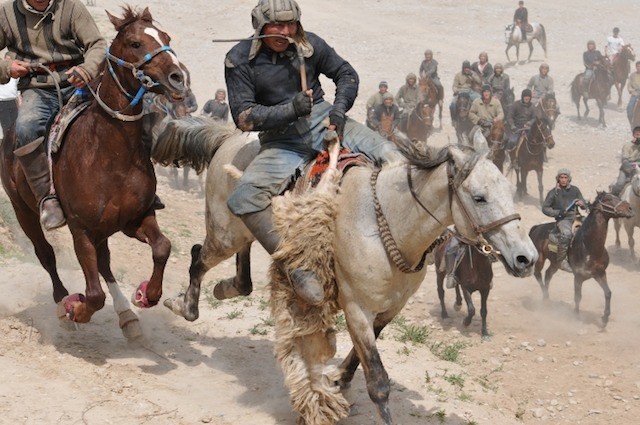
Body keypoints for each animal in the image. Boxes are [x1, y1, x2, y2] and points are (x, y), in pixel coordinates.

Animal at [0, 4, 190, 332]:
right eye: (135, 43)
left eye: (165, 37)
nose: (178, 78)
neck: (109, 153)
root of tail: (8, 137)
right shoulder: (82, 230)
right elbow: (93, 294)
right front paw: (76, 309)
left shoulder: (135, 218)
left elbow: (162, 247)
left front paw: (147, 295)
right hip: (23, 210)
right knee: (46, 254)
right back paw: (62, 304)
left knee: (104, 263)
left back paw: (127, 315)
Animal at [528, 190, 632, 326]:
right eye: (609, 199)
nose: (630, 209)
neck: (589, 247)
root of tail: (536, 228)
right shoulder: (578, 277)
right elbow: (578, 296)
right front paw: (576, 316)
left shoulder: (600, 273)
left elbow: (608, 293)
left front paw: (605, 318)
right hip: (540, 259)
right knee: (538, 274)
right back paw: (545, 298)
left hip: (555, 263)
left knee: (548, 274)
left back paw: (547, 298)